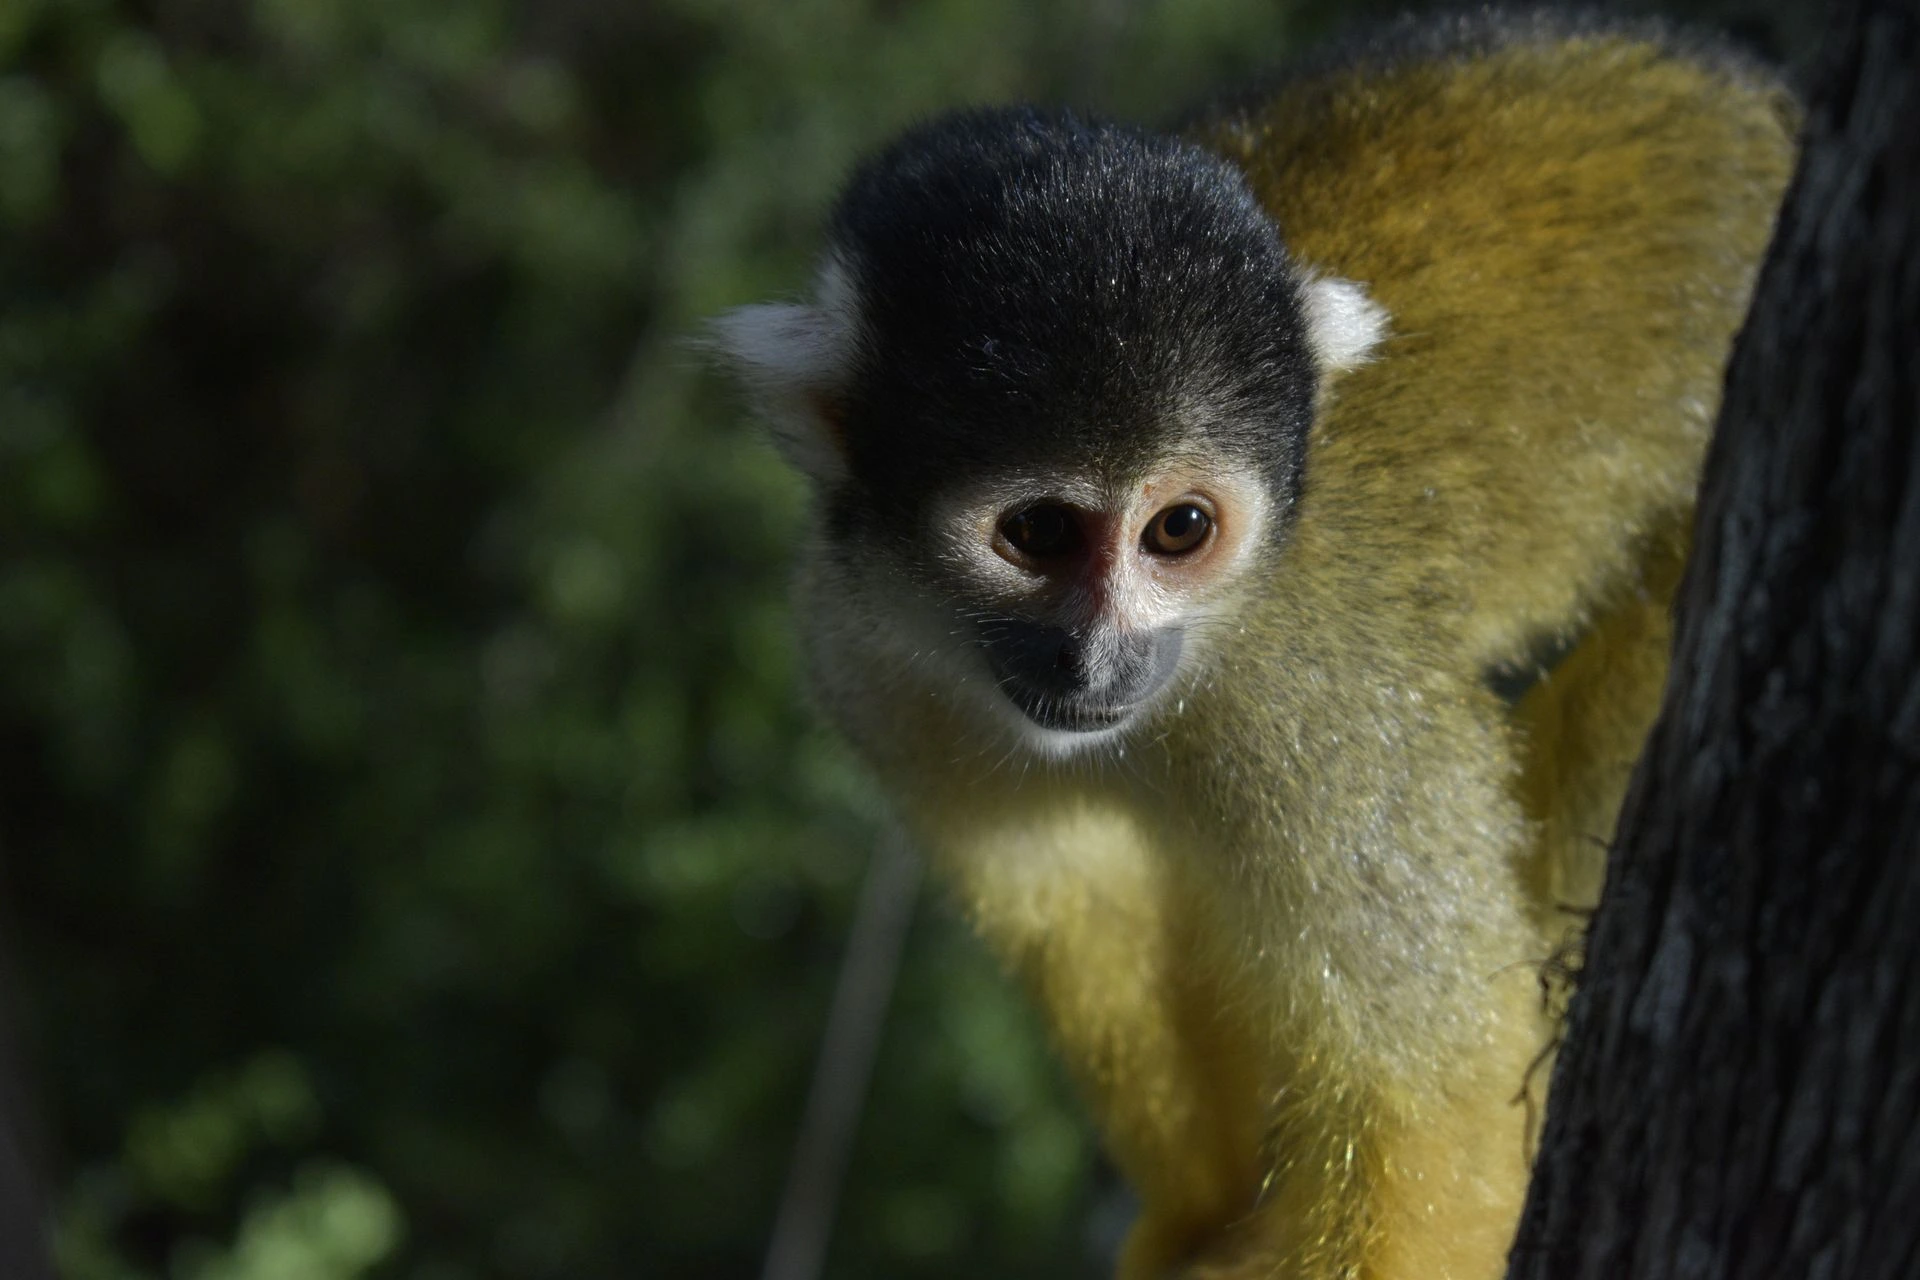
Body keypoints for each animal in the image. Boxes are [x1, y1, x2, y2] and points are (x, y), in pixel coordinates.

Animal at [711, 11, 1796, 1279]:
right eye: (1037, 532)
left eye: (1178, 529)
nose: (1098, 664)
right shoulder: (866, 659)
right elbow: (1089, 911)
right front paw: (1204, 1211)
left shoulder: (1329, 707)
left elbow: (1436, 1092)